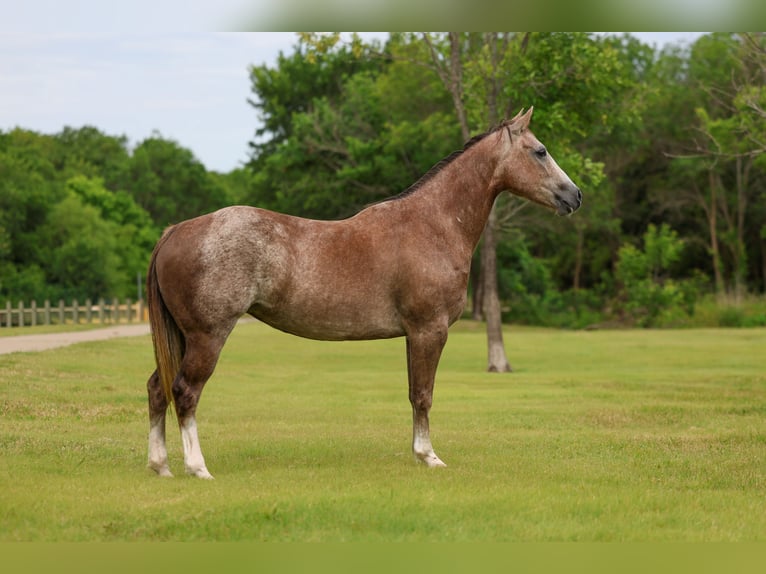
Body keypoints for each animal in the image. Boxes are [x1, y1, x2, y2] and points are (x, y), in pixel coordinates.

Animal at [145, 107, 581, 478]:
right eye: (540, 151)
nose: (574, 195)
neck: (432, 224)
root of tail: (175, 231)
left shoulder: (414, 334)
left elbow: (414, 393)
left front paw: (419, 452)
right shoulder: (429, 330)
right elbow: (424, 394)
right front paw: (429, 457)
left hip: (183, 338)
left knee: (157, 388)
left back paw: (160, 465)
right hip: (207, 337)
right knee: (185, 392)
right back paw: (197, 468)